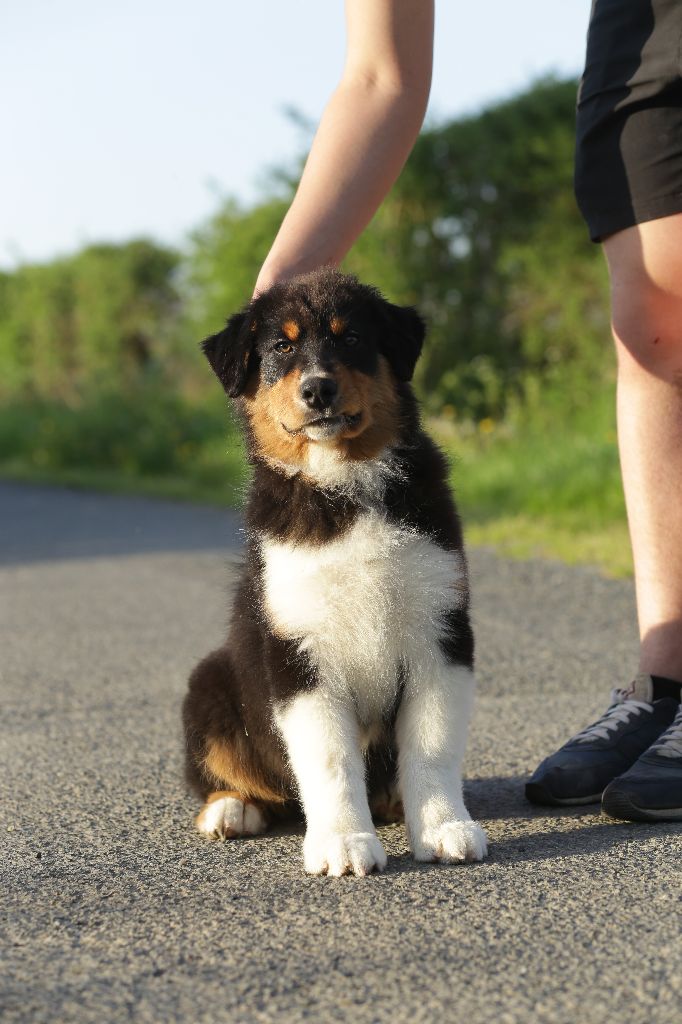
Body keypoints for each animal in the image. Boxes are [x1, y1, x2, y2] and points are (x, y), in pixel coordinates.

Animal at [183, 268, 485, 876]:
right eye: (281, 348)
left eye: (351, 339)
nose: (317, 390)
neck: (341, 483)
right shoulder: (298, 649)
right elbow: (329, 759)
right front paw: (343, 843)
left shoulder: (440, 629)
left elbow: (433, 745)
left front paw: (445, 827)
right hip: (207, 684)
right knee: (229, 774)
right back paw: (231, 809)